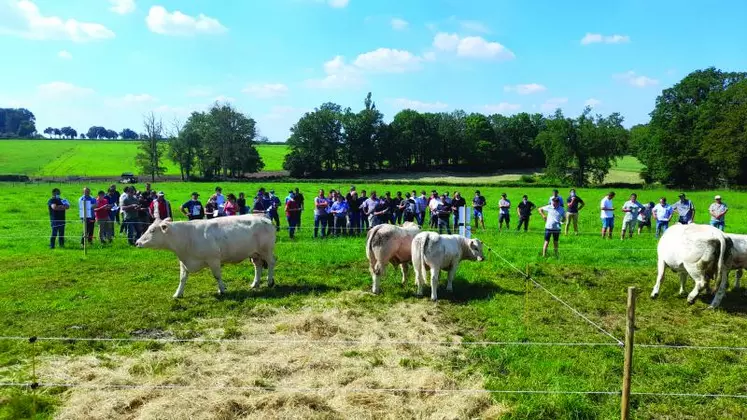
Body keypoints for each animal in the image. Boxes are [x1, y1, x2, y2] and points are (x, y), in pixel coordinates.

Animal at [135, 217, 278, 298]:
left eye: (152, 230)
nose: (137, 242)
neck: (186, 236)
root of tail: (265, 219)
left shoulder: (213, 259)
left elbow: (217, 276)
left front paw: (222, 290)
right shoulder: (183, 261)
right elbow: (182, 278)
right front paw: (177, 294)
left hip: (266, 250)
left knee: (271, 262)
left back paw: (270, 281)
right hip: (255, 253)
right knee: (258, 266)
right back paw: (255, 283)